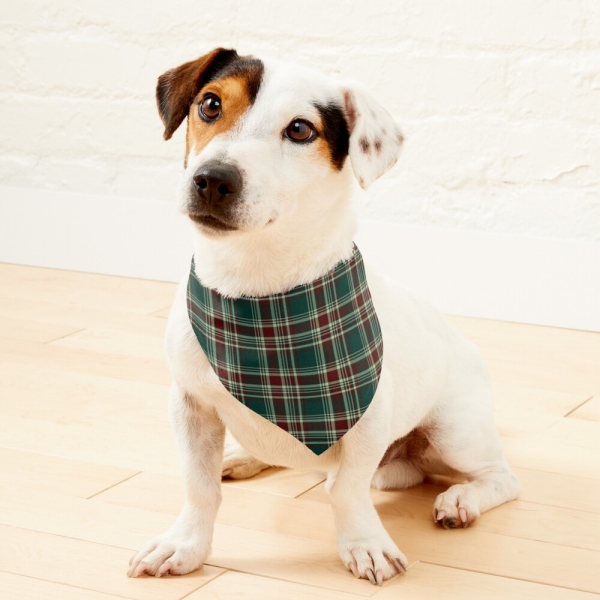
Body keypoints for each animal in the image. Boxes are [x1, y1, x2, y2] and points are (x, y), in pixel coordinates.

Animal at [127, 48, 520, 584]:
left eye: (299, 130)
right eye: (210, 104)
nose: (213, 179)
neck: (258, 293)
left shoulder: (368, 419)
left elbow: (347, 490)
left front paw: (365, 544)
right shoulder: (190, 405)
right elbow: (199, 485)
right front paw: (185, 545)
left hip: (456, 432)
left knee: (500, 477)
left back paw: (461, 499)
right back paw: (244, 456)